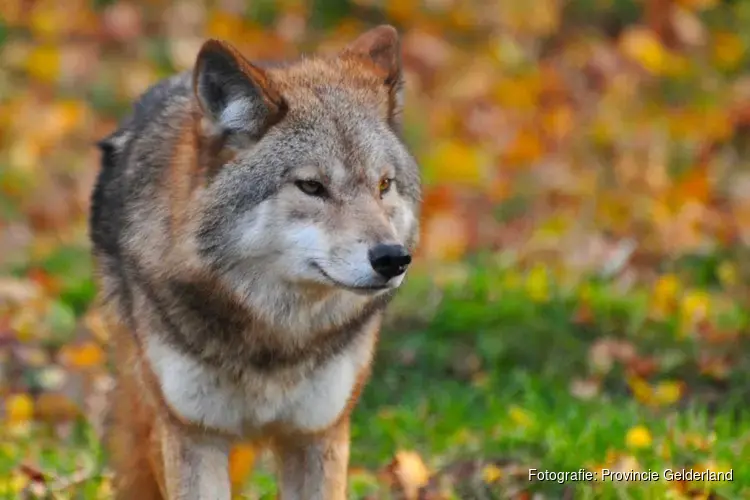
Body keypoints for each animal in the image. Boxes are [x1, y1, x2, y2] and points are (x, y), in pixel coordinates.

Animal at [88, 26, 424, 500]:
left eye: (383, 185)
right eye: (311, 186)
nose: (393, 258)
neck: (274, 339)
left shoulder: (318, 434)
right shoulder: (193, 435)